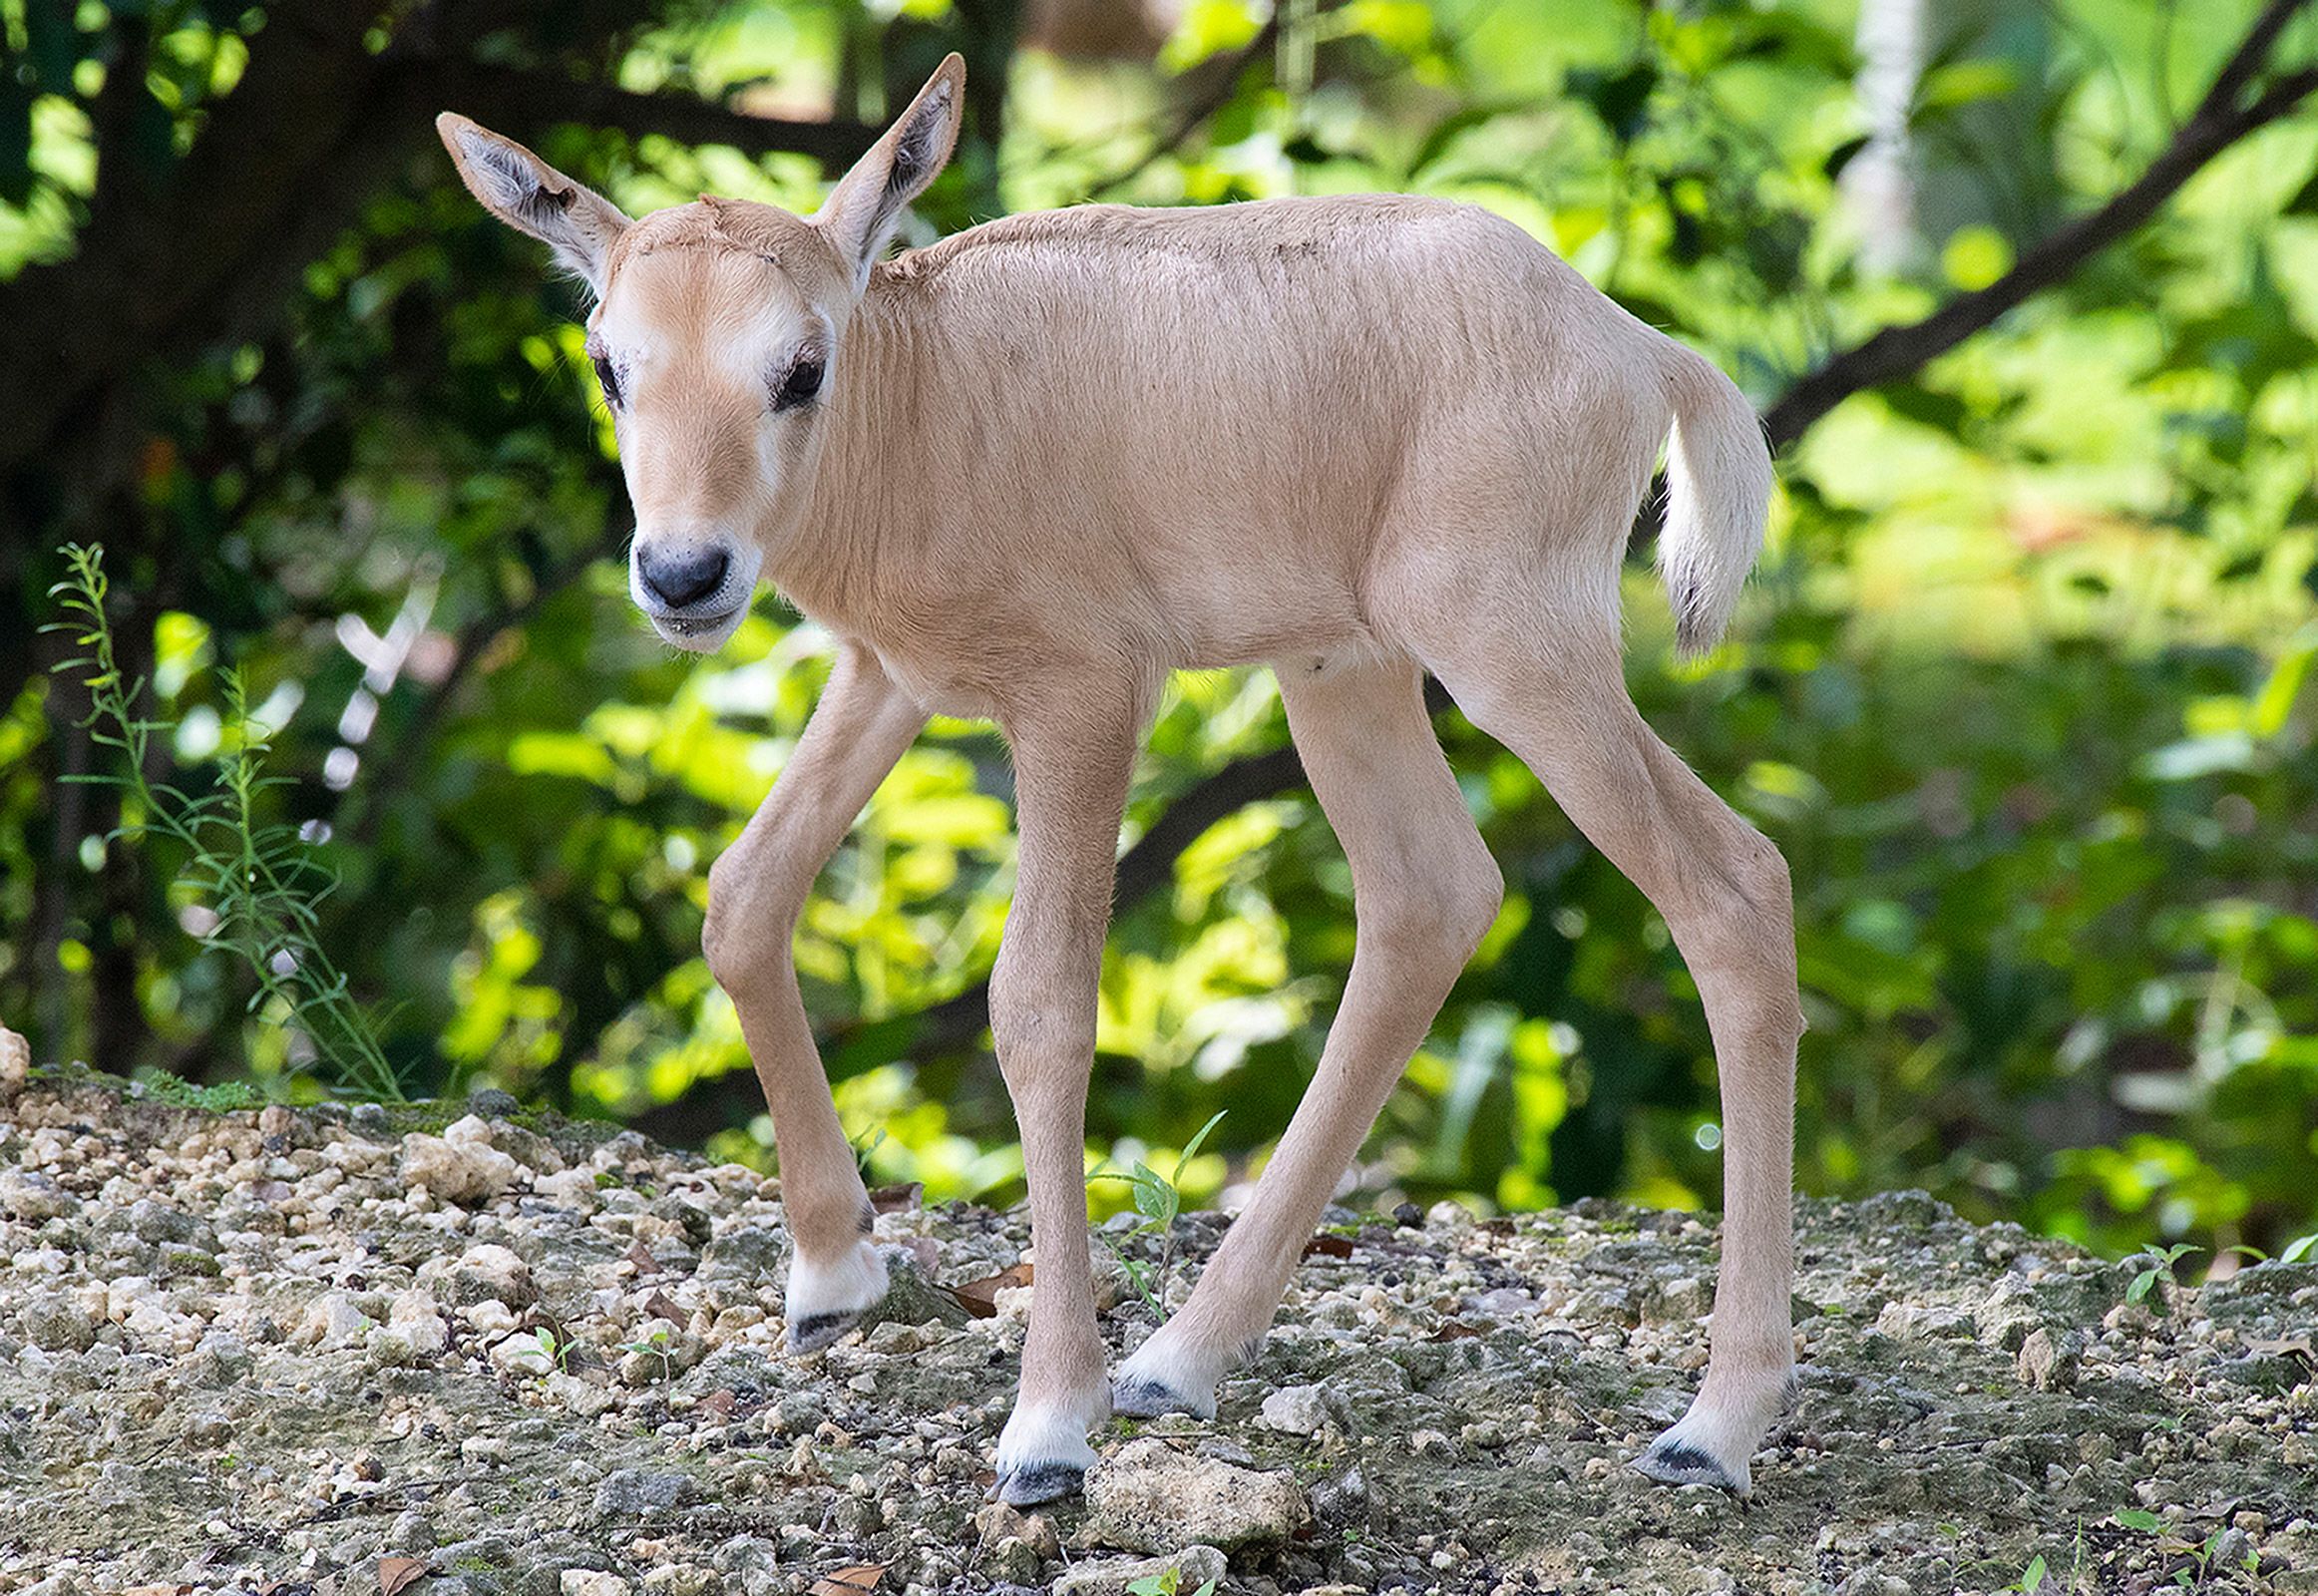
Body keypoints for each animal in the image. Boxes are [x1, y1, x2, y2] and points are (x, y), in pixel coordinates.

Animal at [442, 56, 1798, 1502]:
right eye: (609, 364)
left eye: (798, 367)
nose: (685, 577)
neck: (929, 391)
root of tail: (1635, 348)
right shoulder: (888, 678)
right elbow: (743, 895)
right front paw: (834, 1272)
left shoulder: (1080, 705)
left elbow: (1038, 1008)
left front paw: (1046, 1426)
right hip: (1346, 671)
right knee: (1430, 896)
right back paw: (1179, 1361)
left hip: (1519, 657)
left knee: (1732, 887)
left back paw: (1714, 1426)